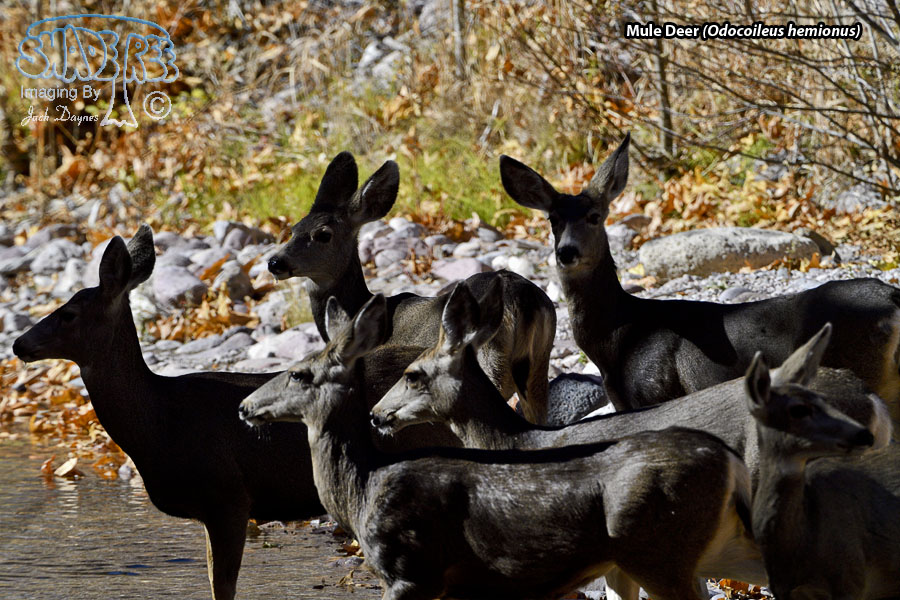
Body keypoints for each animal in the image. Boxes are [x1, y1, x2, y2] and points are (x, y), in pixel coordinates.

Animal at [266, 151, 557, 423]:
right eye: (293, 229)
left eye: (323, 234)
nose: (274, 262)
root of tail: (520, 299)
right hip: (537, 369)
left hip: (487, 362)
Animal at [499, 133, 900, 425]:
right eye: (553, 220)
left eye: (595, 216)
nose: (567, 252)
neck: (617, 337)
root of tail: (892, 300)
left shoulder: (655, 393)